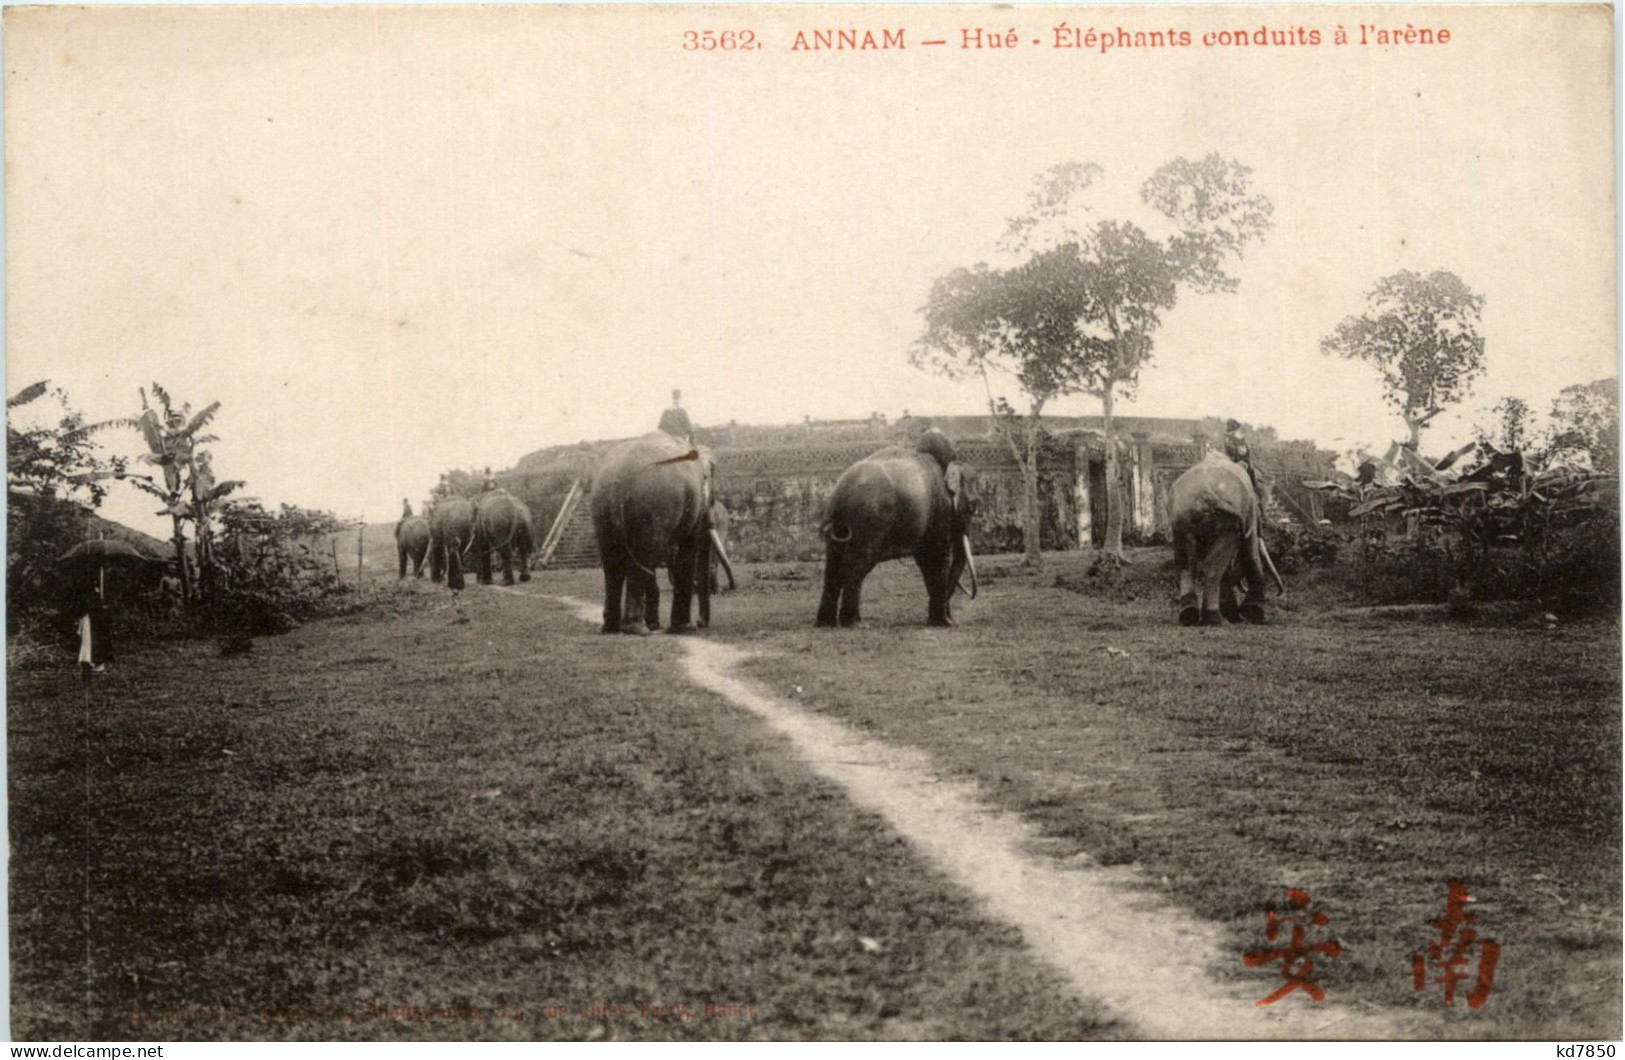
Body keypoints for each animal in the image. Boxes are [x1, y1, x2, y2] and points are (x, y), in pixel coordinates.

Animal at [591, 429, 737, 634]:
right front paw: (684, 627)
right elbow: (688, 550)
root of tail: (620, 475)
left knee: (613, 564)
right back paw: (638, 629)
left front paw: (659, 624)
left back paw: (612, 629)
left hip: (601, 507)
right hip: (651, 508)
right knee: (643, 558)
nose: (702, 623)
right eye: (713, 494)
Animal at [812, 429, 975, 630]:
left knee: (833, 565)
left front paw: (937, 621)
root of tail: (841, 494)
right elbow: (937, 556)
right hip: (868, 522)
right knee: (858, 565)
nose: (952, 619)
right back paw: (855, 623)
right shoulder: (941, 508)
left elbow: (926, 560)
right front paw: (944, 623)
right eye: (973, 507)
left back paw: (825, 624)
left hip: (837, 524)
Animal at [1170, 451, 1280, 624]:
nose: (1278, 593)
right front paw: (1253, 613)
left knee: (1185, 564)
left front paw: (1237, 614)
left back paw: (1189, 616)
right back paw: (1216, 619)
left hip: (1182, 518)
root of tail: (1205, 494)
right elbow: (1250, 549)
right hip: (1226, 520)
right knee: (1212, 564)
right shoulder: (1249, 510)